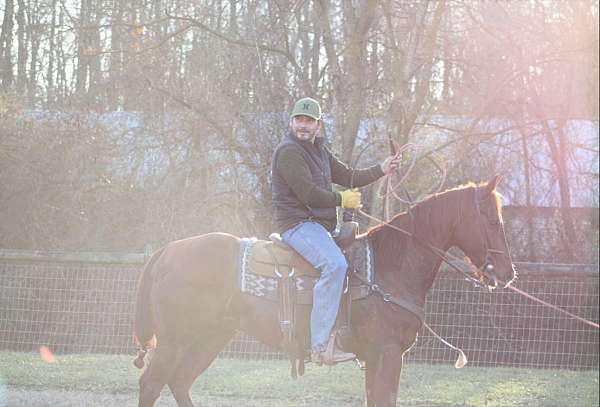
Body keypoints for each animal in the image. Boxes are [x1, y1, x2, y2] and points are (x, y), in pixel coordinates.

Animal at [135, 177, 516, 406]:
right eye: (493, 220)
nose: (508, 273)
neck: (389, 267)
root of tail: (166, 251)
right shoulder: (389, 354)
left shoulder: (376, 358)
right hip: (176, 341)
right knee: (152, 382)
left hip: (211, 337)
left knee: (179, 381)